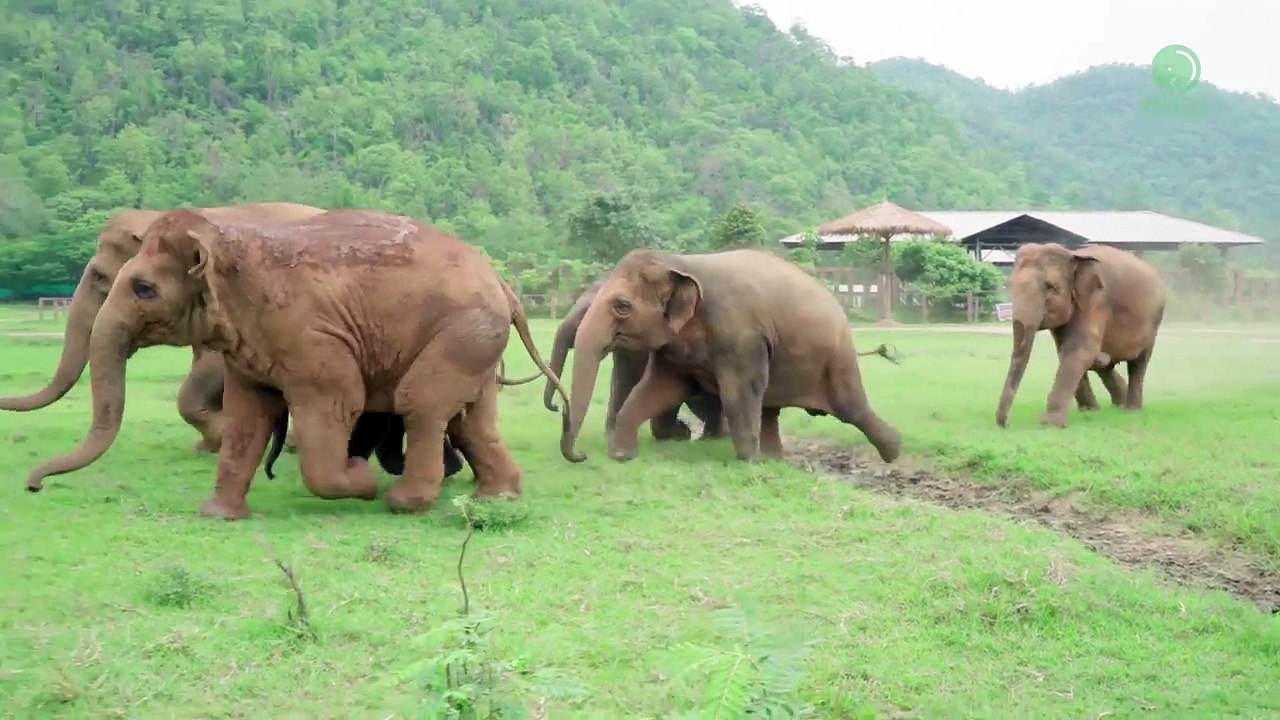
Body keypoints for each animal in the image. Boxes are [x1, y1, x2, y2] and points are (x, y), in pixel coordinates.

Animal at [996, 242, 1167, 428]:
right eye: (1010, 285)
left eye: (1050, 287)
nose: (1007, 423)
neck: (1073, 256)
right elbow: (1066, 351)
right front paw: (1089, 410)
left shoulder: (1096, 301)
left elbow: (1078, 351)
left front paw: (1051, 424)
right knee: (1106, 366)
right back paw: (1117, 401)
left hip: (1153, 322)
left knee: (1139, 363)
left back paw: (1131, 410)